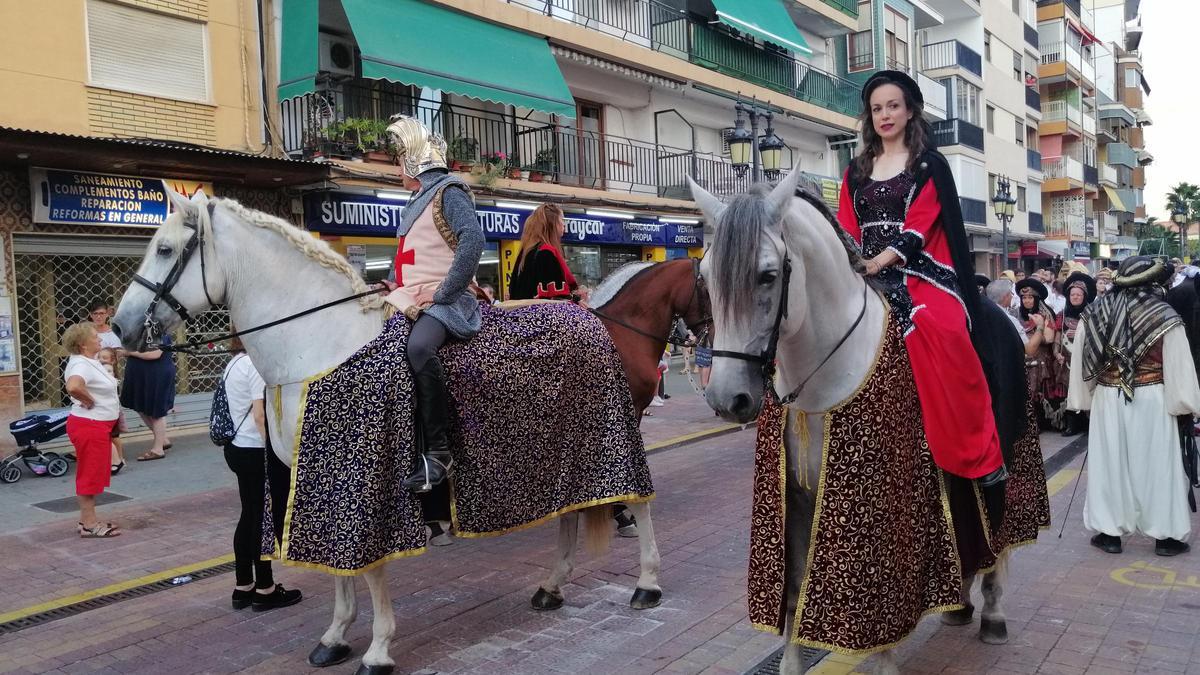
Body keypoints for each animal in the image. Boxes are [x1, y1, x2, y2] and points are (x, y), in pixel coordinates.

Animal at [112, 189, 667, 672]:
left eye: (165, 249)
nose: (120, 328)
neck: (319, 343)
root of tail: (584, 312)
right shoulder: (315, 477)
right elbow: (340, 568)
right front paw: (335, 637)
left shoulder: (366, 478)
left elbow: (372, 569)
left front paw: (377, 650)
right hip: (560, 452)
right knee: (569, 515)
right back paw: (552, 586)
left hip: (611, 435)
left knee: (636, 503)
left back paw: (647, 583)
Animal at [696, 170, 1012, 667]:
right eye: (705, 278)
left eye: (768, 275)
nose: (728, 398)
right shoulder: (796, 499)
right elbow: (794, 590)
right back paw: (959, 605)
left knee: (997, 536)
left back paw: (994, 614)